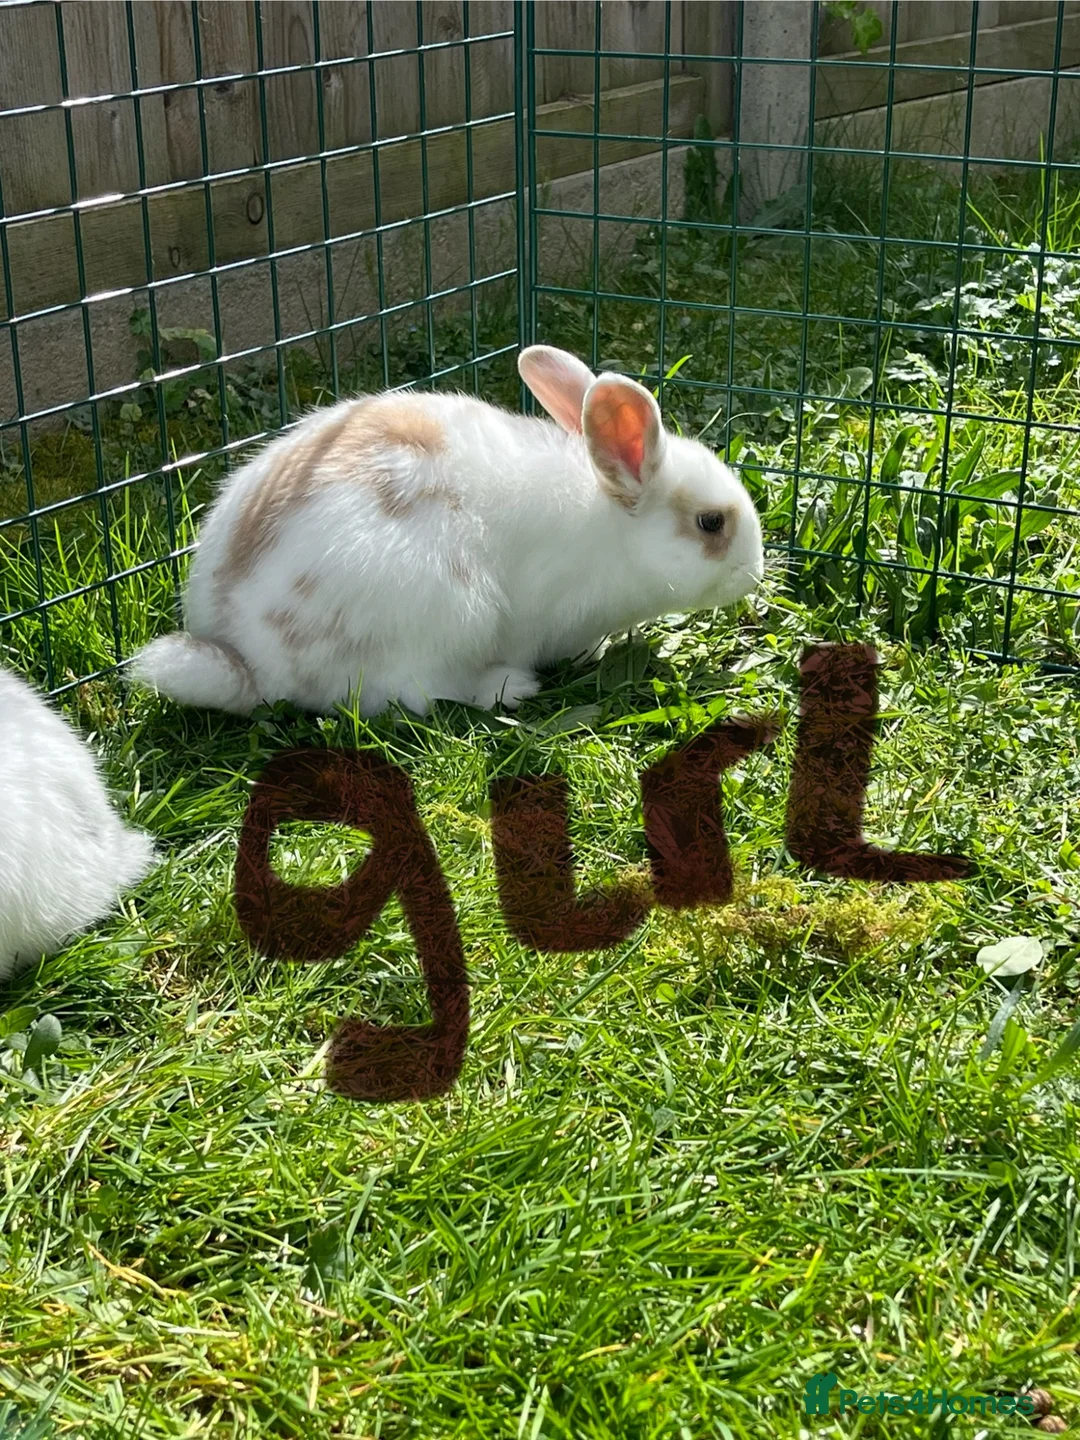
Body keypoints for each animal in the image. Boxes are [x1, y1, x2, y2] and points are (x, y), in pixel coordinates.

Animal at [130, 345, 764, 719]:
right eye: (711, 523)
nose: (756, 573)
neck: (611, 527)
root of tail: (246, 657)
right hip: (445, 615)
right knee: (417, 693)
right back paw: (508, 687)